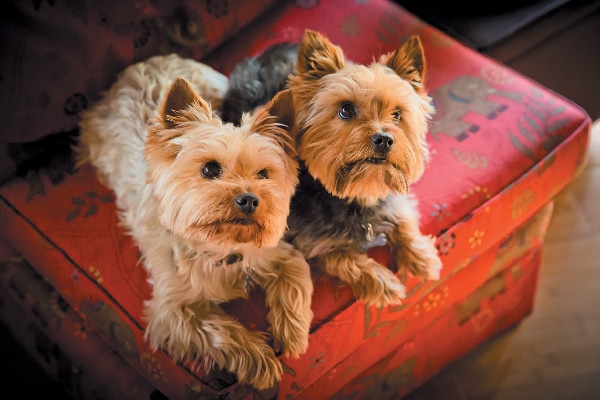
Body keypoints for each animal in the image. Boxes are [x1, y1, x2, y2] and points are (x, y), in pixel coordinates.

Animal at [76, 54, 314, 390]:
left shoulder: (279, 254)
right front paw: (261, 361)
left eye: (264, 174)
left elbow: (294, 283)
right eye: (210, 169)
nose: (249, 199)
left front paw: (291, 334)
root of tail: (142, 64)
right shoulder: (172, 314)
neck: (221, 247)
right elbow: (220, 332)